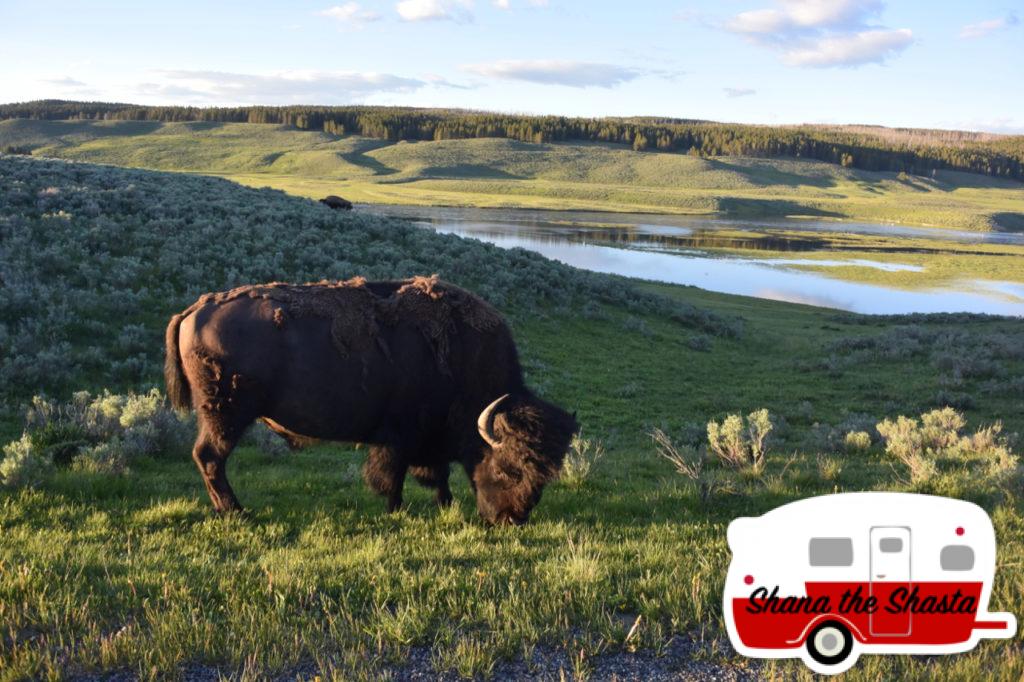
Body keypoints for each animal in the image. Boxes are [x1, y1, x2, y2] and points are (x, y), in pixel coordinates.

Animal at [160, 274, 577, 522]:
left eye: (544, 477)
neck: (462, 355)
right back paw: (236, 512)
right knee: (210, 457)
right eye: (508, 469)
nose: (510, 520)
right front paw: (397, 511)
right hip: (226, 413)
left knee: (208, 458)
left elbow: (437, 474)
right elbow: (394, 475)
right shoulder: (399, 436)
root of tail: (193, 310)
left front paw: (446, 504)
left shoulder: (428, 440)